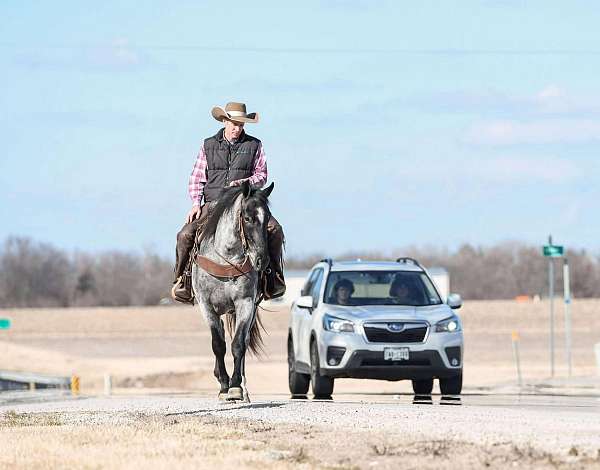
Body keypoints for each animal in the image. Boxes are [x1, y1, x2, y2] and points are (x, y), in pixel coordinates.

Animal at [192, 182, 274, 402]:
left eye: (268, 219)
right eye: (247, 218)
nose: (262, 260)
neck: (226, 258)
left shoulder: (245, 303)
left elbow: (238, 344)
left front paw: (235, 387)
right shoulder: (206, 305)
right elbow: (218, 344)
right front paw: (223, 385)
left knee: (243, 340)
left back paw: (244, 389)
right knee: (220, 333)